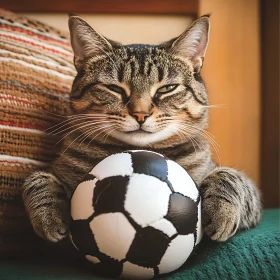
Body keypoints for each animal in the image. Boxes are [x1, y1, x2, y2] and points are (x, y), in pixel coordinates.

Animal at [23, 15, 262, 243]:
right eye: (114, 88)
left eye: (167, 88)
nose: (140, 114)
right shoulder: (53, 172)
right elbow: (37, 180)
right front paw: (49, 217)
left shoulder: (250, 200)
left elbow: (230, 176)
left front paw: (222, 212)